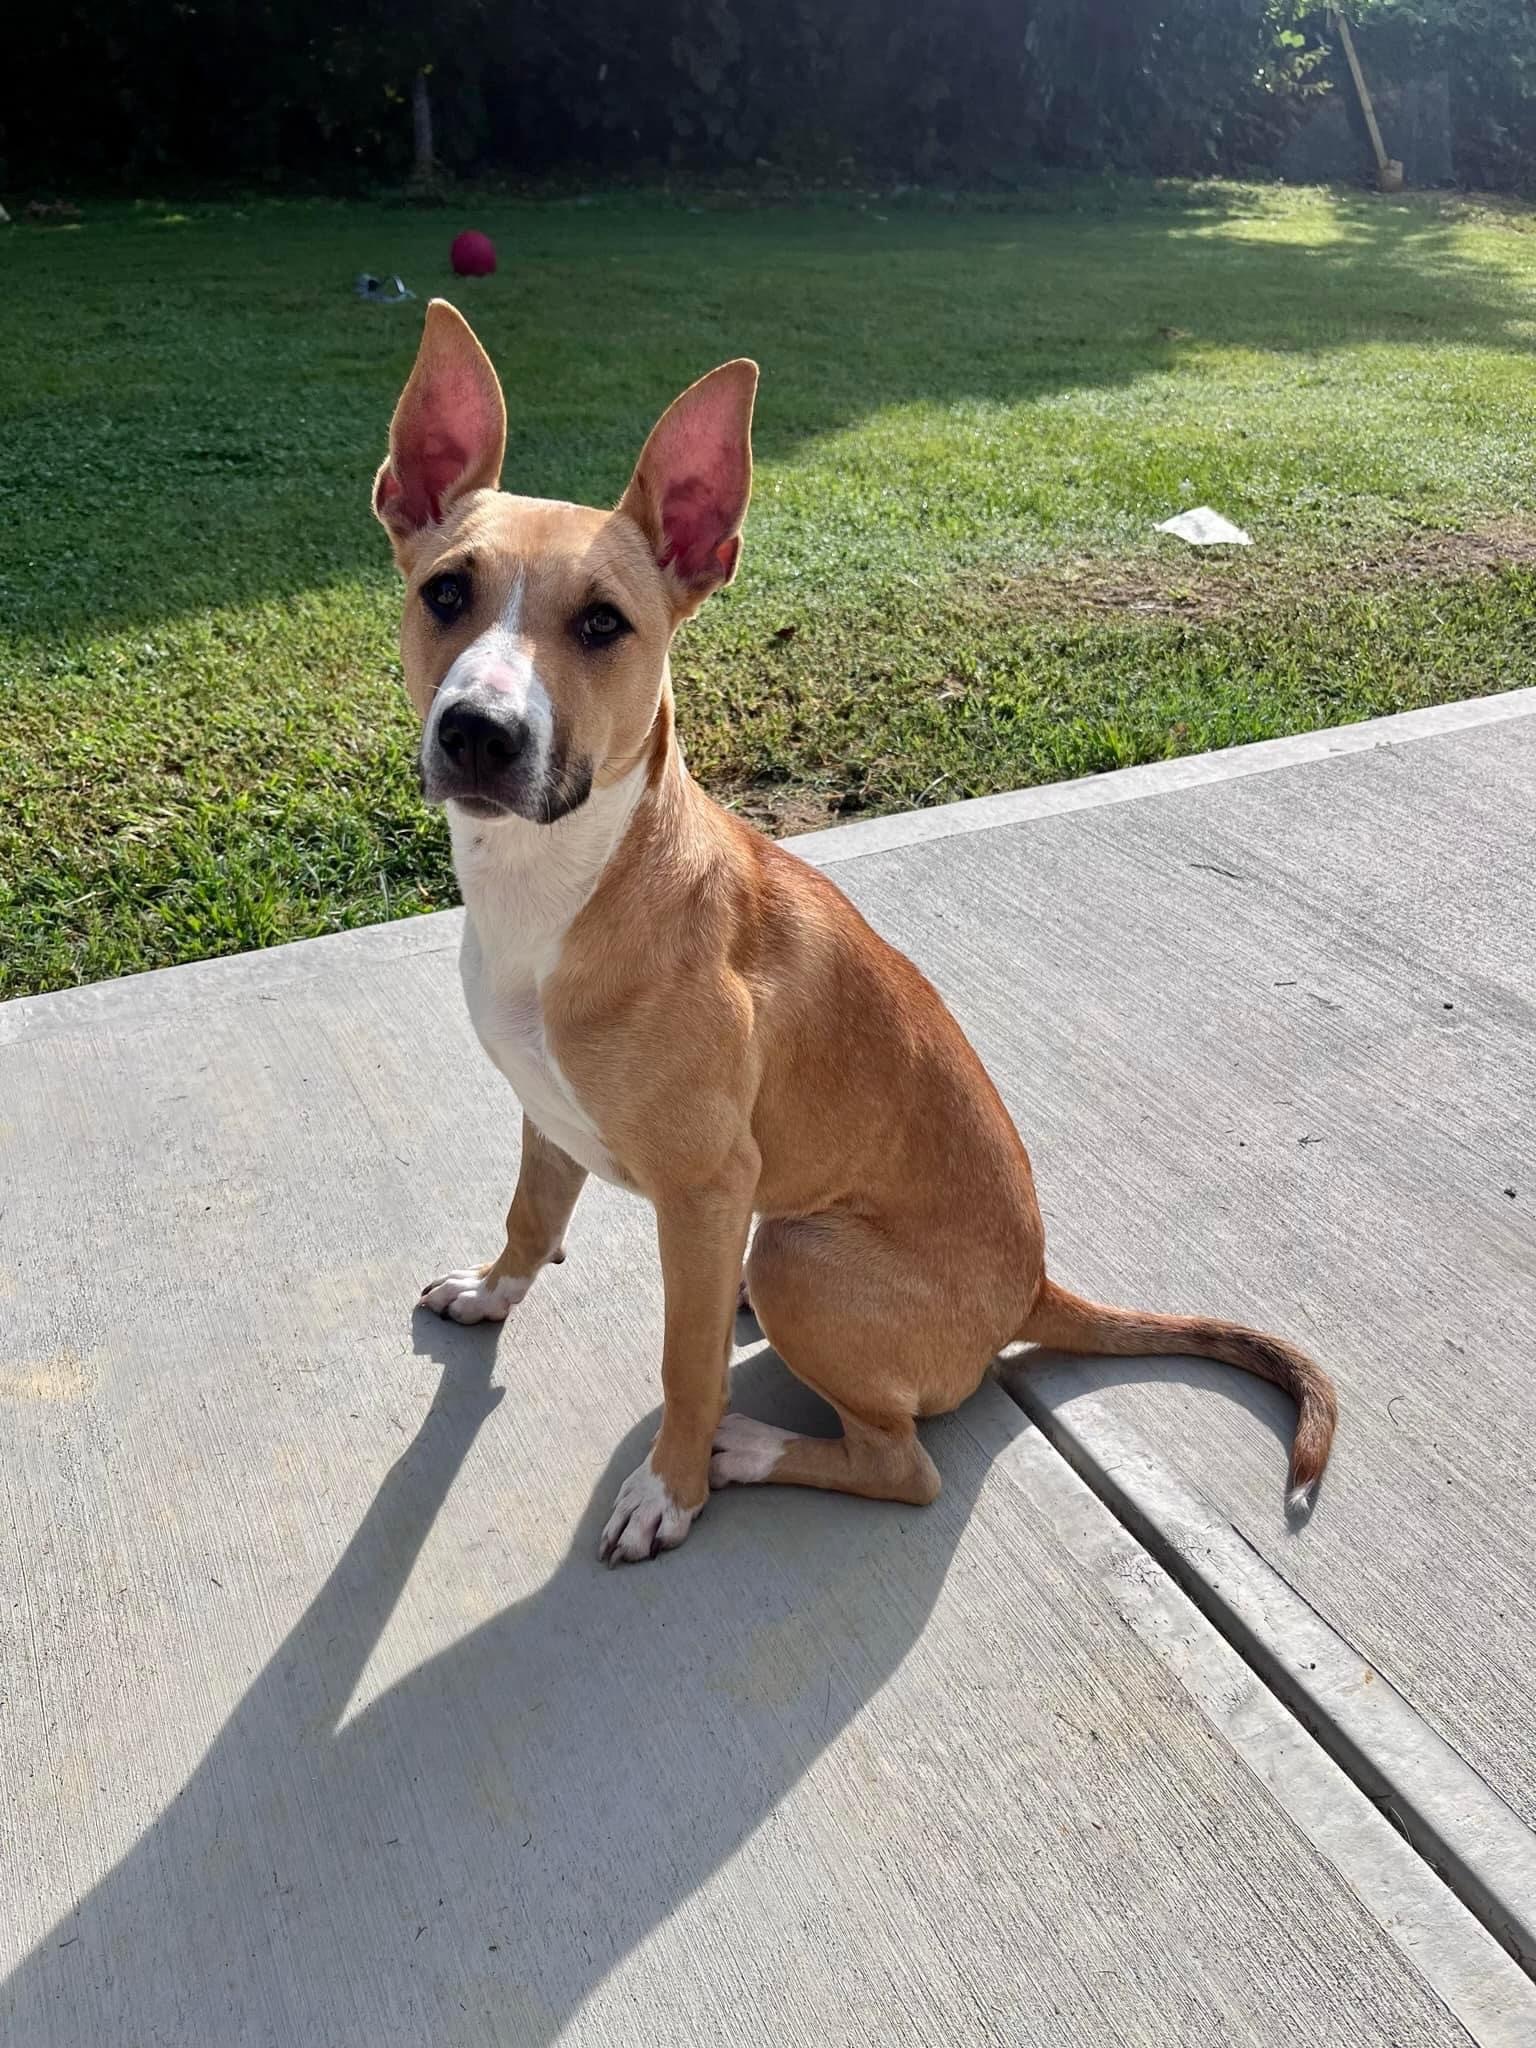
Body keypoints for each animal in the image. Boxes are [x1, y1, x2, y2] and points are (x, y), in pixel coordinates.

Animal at [372, 303, 1335, 1556]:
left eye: (602, 623)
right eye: (447, 593)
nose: (480, 732)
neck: (565, 883)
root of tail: (1033, 1285)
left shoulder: (705, 1182)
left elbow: (684, 1369)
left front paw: (669, 1484)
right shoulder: (546, 1113)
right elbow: (531, 1216)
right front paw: (495, 1290)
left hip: (804, 1254)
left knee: (902, 1463)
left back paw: (750, 1448)